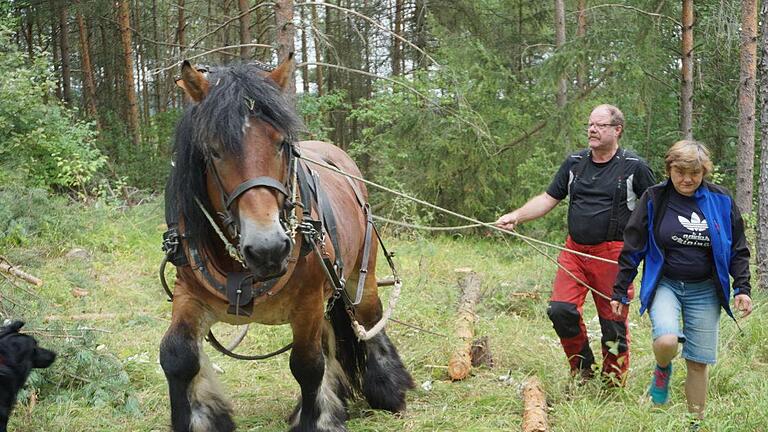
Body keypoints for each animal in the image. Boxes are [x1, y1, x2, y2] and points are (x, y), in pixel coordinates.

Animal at [161, 57, 412, 432]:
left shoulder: (307, 301)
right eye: (214, 151)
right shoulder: (189, 292)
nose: (268, 248)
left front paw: (315, 420)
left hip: (358, 273)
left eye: (281, 144)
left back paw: (389, 388)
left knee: (369, 319)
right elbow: (176, 355)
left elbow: (307, 365)